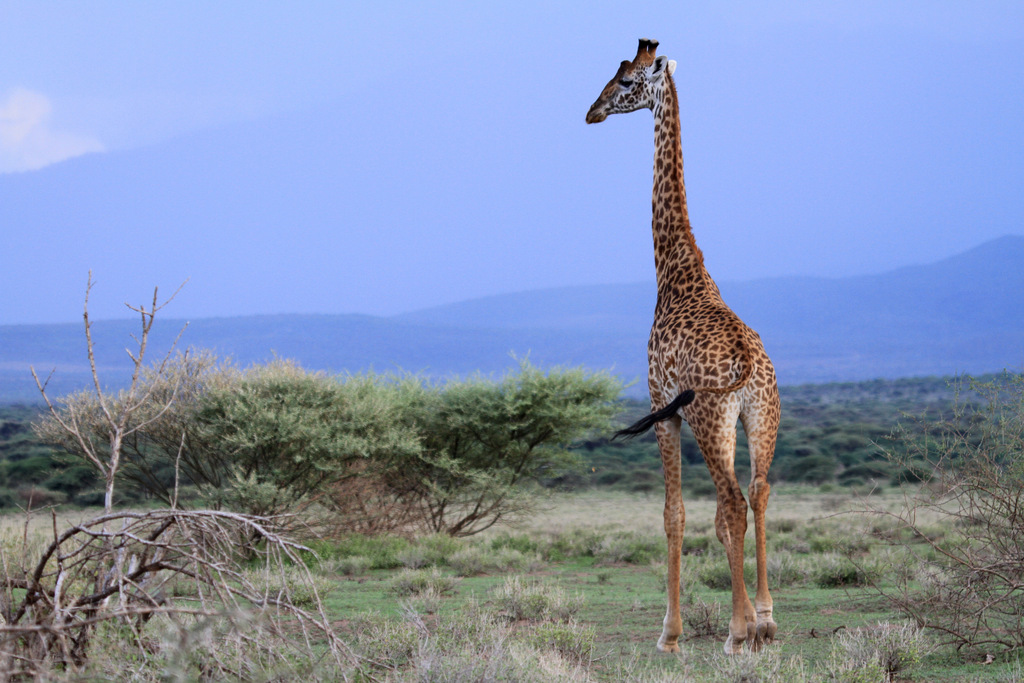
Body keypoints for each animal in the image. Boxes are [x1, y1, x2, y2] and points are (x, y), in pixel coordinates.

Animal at [589, 38, 778, 655]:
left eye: (627, 82)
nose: (592, 111)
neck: (675, 272)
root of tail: (747, 365)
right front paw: (751, 619)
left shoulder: (662, 407)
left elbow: (673, 514)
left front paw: (669, 635)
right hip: (761, 417)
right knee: (758, 491)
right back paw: (767, 618)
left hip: (710, 419)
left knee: (731, 504)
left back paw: (739, 632)